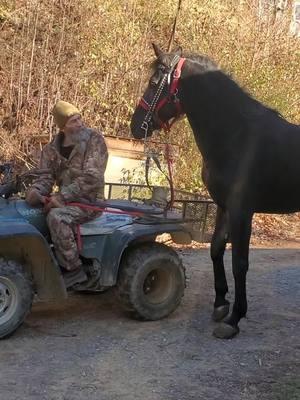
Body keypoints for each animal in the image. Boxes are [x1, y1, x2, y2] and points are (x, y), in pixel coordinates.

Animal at [131, 43, 300, 338]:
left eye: (154, 82)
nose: (136, 124)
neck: (236, 136)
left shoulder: (242, 211)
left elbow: (239, 263)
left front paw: (234, 319)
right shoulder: (223, 206)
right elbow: (216, 249)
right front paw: (221, 303)